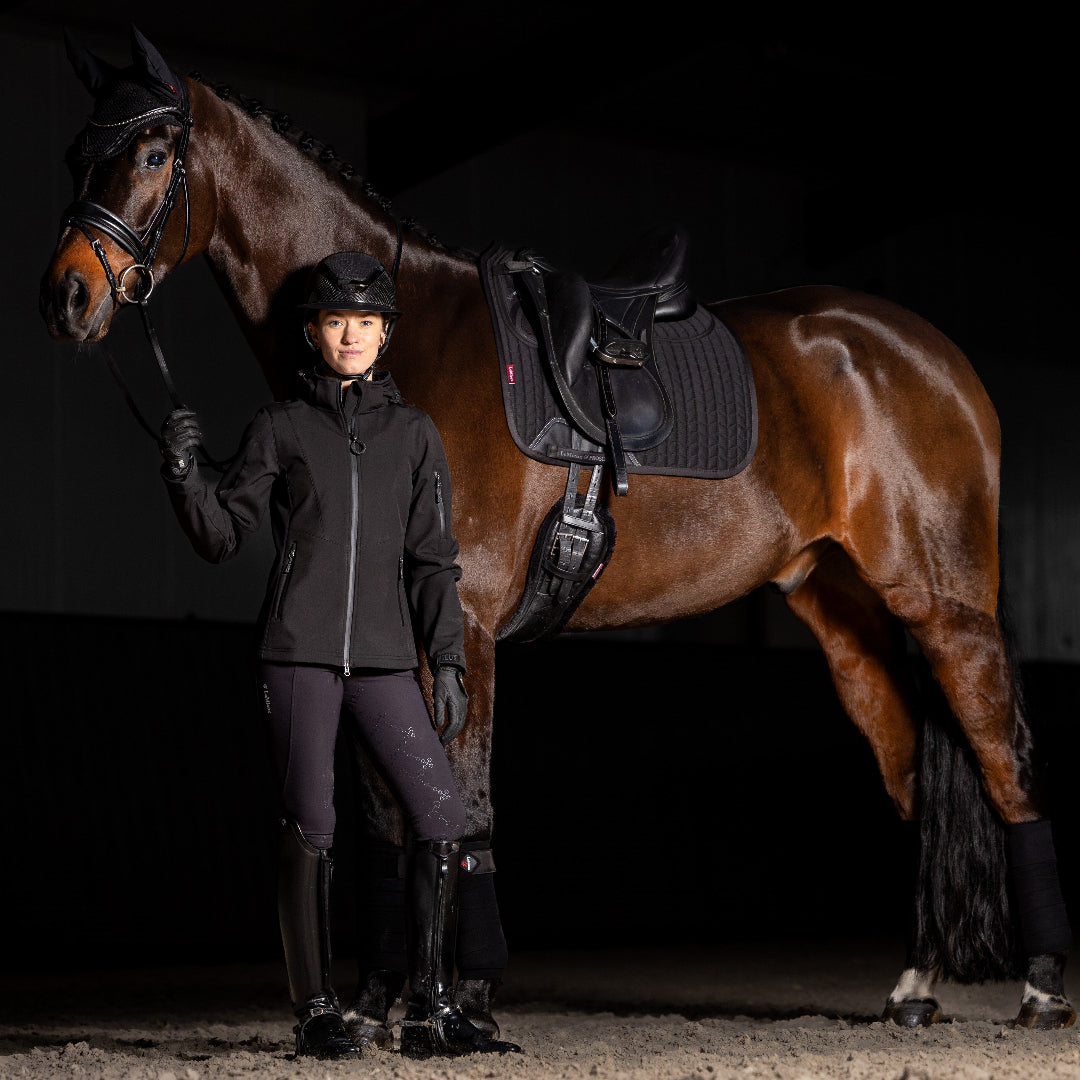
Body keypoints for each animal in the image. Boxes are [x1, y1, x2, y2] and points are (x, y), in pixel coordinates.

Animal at [40, 27, 1075, 1035]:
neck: (396, 353)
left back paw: (1040, 990)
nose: (68, 299)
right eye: (76, 154)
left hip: (946, 609)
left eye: (152, 152)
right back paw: (915, 987)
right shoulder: (382, 640)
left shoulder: (465, 629)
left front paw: (464, 1001)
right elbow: (385, 815)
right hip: (849, 623)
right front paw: (380, 1001)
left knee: (1007, 767)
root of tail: (926, 352)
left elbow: (462, 809)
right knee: (915, 781)